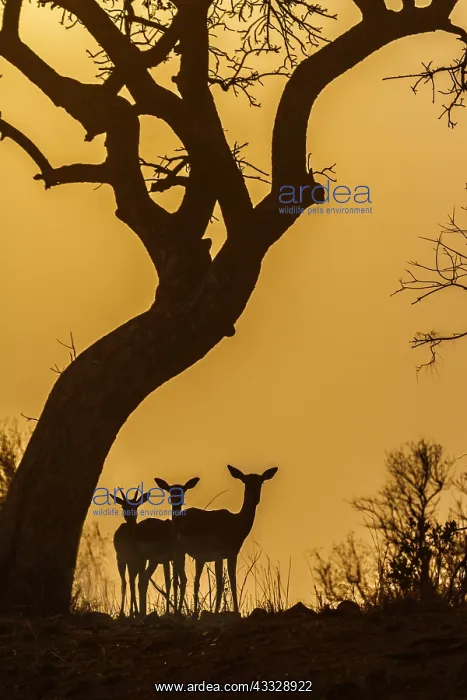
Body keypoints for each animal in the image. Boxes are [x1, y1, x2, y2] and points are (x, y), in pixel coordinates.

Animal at [169, 465, 278, 616]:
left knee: (190, 580)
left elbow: (232, 581)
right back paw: (179, 612)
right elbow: (220, 583)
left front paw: (236, 612)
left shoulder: (232, 554)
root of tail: (176, 518)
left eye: (261, 481)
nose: (256, 499)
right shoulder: (218, 555)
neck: (235, 524)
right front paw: (216, 613)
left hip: (196, 557)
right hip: (178, 552)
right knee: (181, 579)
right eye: (245, 482)